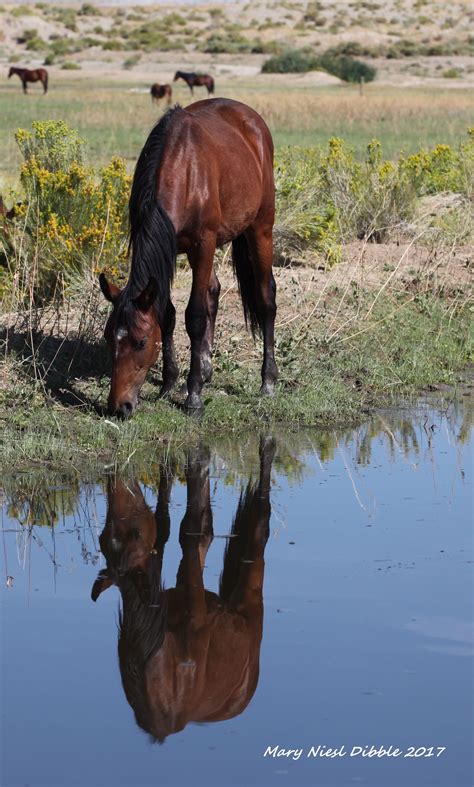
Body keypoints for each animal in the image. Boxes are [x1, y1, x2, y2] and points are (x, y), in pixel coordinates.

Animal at [91, 440, 276, 740]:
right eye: (103, 535)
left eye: (135, 534)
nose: (119, 481)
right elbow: (168, 526)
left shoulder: (198, 620)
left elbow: (188, 529)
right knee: (206, 532)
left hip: (251, 589)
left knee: (260, 521)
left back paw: (267, 447)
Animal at [99, 97, 278, 418]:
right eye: (108, 338)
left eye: (141, 341)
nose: (119, 407)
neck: (181, 170)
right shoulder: (170, 250)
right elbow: (167, 314)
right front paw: (170, 382)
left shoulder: (203, 245)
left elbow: (194, 316)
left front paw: (193, 396)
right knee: (213, 292)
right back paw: (205, 368)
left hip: (260, 228)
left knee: (266, 298)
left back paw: (267, 380)